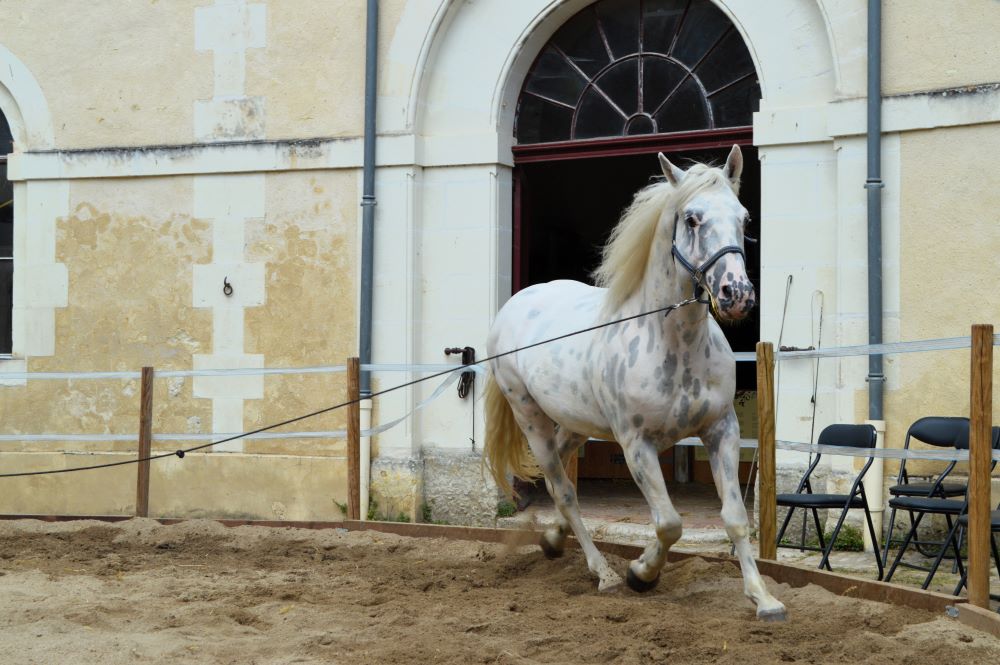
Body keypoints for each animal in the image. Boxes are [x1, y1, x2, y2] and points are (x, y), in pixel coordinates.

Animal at [484, 145, 786, 621]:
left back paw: (553, 540)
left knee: (558, 479)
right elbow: (669, 523)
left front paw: (764, 598)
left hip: (576, 424)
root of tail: (515, 304)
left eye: (744, 217)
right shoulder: (635, 444)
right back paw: (603, 572)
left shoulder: (721, 430)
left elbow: (735, 518)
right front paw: (641, 574)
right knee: (564, 490)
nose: (736, 294)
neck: (673, 343)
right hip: (530, 419)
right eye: (692, 218)